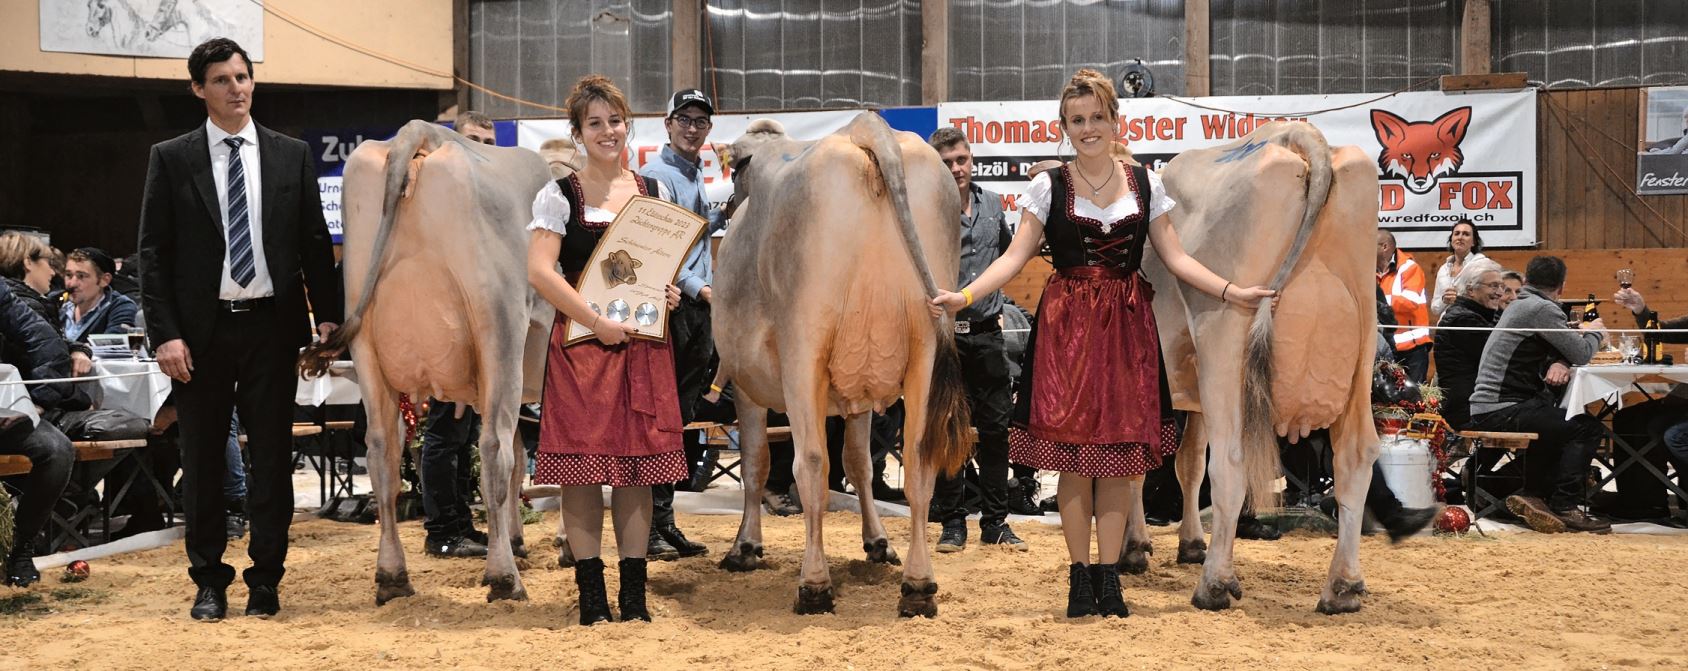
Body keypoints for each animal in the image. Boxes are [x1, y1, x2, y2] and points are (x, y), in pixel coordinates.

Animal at [302, 122, 553, 606]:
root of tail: (420, 132)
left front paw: (518, 538)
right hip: (499, 334)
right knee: (493, 450)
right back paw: (504, 578)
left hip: (366, 344)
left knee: (381, 451)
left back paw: (393, 577)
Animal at [715, 112, 979, 617]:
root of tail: (865, 127)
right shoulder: (859, 392)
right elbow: (858, 464)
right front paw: (877, 541)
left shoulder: (746, 385)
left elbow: (756, 463)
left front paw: (744, 546)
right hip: (925, 349)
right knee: (919, 462)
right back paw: (918, 586)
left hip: (804, 348)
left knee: (810, 463)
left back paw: (814, 585)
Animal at [1134, 120, 1384, 613]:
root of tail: (1295, 136)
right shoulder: (1193, 395)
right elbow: (1187, 462)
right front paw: (1189, 543)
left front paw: (1133, 548)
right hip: (1363, 342)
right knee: (1356, 456)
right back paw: (1343, 587)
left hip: (1223, 339)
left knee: (1229, 462)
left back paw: (1215, 583)